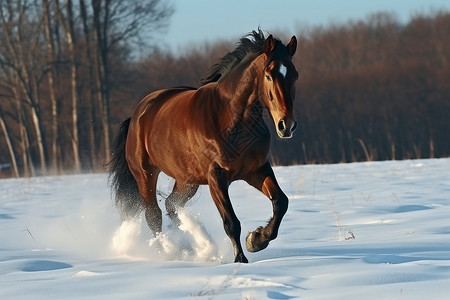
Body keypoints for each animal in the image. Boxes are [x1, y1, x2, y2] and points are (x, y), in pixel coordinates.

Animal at [109, 28, 298, 262]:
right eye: (269, 75)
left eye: (295, 75)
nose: (286, 125)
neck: (232, 119)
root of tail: (138, 114)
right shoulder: (216, 176)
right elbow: (231, 222)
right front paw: (241, 259)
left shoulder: (256, 169)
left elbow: (281, 202)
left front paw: (256, 240)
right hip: (146, 175)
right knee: (154, 215)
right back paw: (168, 251)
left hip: (186, 180)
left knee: (171, 205)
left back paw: (189, 246)